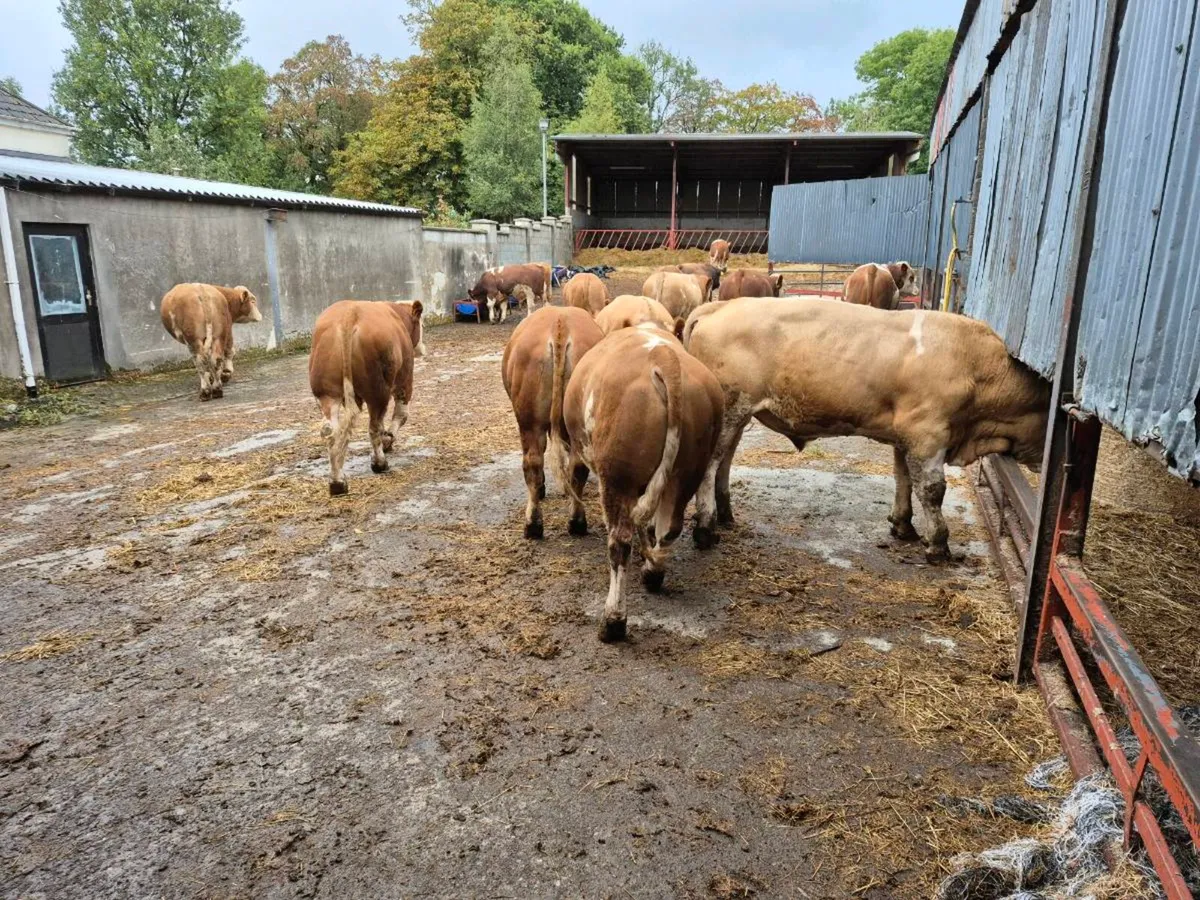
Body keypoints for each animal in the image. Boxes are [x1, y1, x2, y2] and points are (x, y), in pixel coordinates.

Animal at [308, 300, 425, 496]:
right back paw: (379, 463)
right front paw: (388, 441)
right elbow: (401, 415)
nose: (422, 348)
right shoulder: (405, 379)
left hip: (326, 392)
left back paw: (337, 482)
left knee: (329, 430)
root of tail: (349, 314)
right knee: (374, 427)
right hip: (378, 391)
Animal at [501, 306, 605, 539]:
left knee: (532, 462)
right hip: (572, 422)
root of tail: (560, 323)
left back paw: (533, 524)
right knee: (576, 466)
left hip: (529, 422)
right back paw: (577, 522)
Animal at [563, 322, 724, 641]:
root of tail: (663, 357)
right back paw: (652, 574)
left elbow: (576, 478)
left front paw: (576, 523)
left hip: (617, 479)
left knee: (619, 543)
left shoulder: (578, 449)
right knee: (669, 528)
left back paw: (613, 620)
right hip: (687, 471)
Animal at [683, 298, 1049, 562]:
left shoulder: (906, 437)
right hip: (731, 410)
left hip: (740, 416)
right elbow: (932, 489)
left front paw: (903, 525)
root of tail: (719, 305)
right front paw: (938, 545)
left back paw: (725, 514)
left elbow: (903, 479)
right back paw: (706, 528)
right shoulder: (928, 435)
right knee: (710, 465)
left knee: (725, 463)